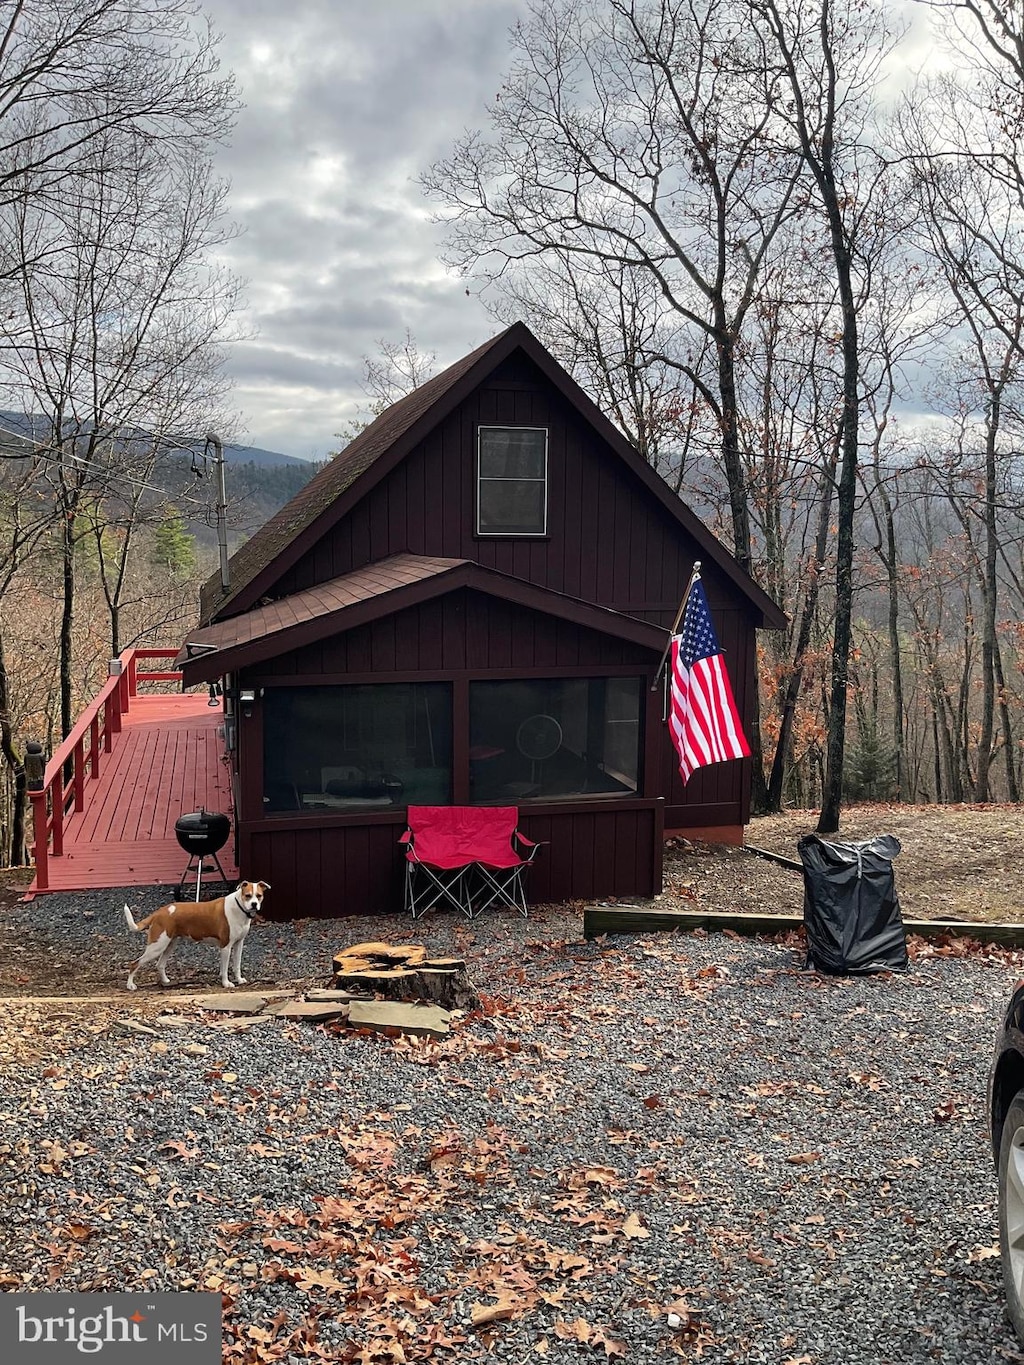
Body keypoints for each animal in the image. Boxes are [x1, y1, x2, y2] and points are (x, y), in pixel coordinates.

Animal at [120, 884, 270, 993]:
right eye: (248, 896)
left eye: (259, 896)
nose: (254, 904)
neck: (238, 907)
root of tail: (159, 912)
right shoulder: (225, 947)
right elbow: (225, 969)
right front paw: (226, 983)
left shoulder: (239, 944)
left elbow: (237, 965)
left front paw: (239, 979)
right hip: (157, 946)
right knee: (134, 963)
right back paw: (130, 985)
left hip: (169, 944)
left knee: (160, 964)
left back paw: (166, 982)